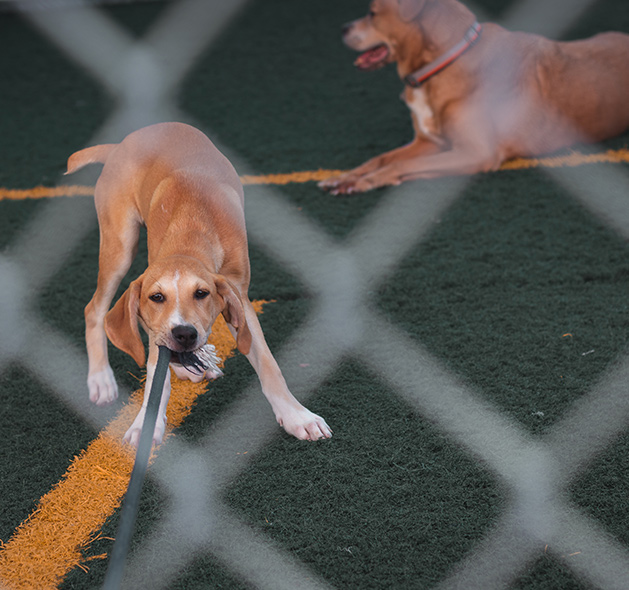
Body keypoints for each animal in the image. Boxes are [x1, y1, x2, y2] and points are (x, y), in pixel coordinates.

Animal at [67, 122, 334, 446]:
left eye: (201, 293)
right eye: (157, 297)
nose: (184, 334)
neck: (190, 231)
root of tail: (123, 143)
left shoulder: (240, 298)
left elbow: (269, 365)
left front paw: (297, 417)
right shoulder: (157, 309)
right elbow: (155, 368)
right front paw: (145, 424)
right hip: (119, 245)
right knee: (94, 309)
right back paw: (101, 379)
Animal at [318, 0, 629, 194]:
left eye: (372, 13)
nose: (342, 29)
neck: (440, 62)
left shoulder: (476, 153)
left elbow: (401, 164)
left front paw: (366, 181)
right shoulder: (429, 143)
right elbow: (381, 158)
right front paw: (348, 176)